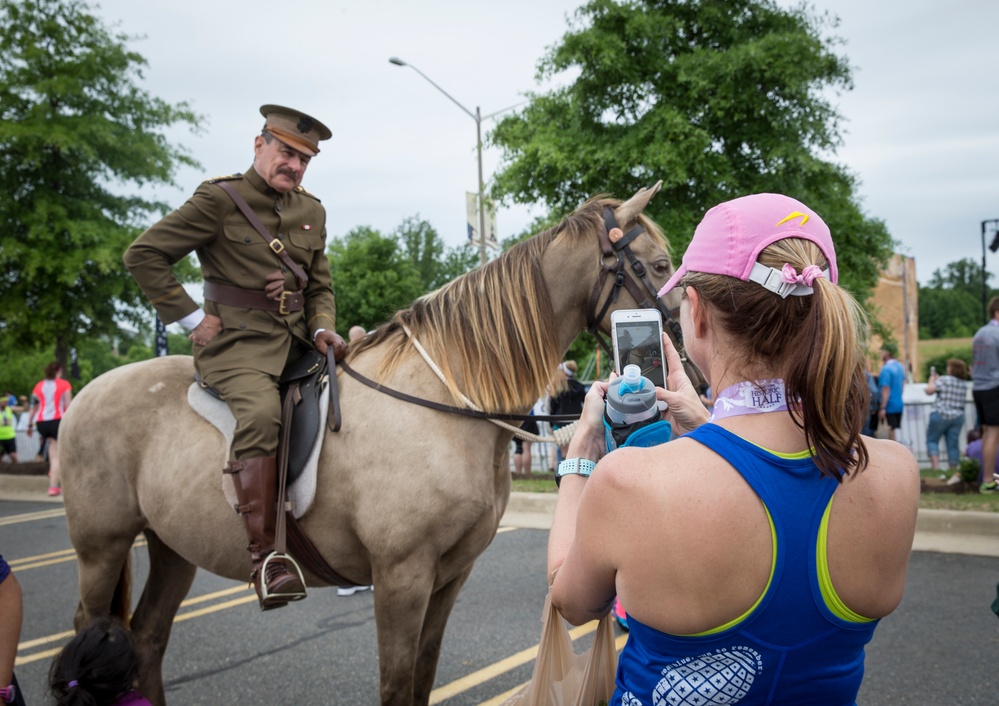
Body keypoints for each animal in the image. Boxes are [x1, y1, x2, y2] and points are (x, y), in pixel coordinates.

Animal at [58, 183, 700, 704]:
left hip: (171, 548)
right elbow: (396, 684)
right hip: (101, 546)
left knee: (146, 639)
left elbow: (421, 677)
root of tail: (86, 394)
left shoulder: (449, 576)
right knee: (89, 640)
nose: (687, 360)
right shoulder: (400, 576)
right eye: (659, 263)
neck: (446, 404)